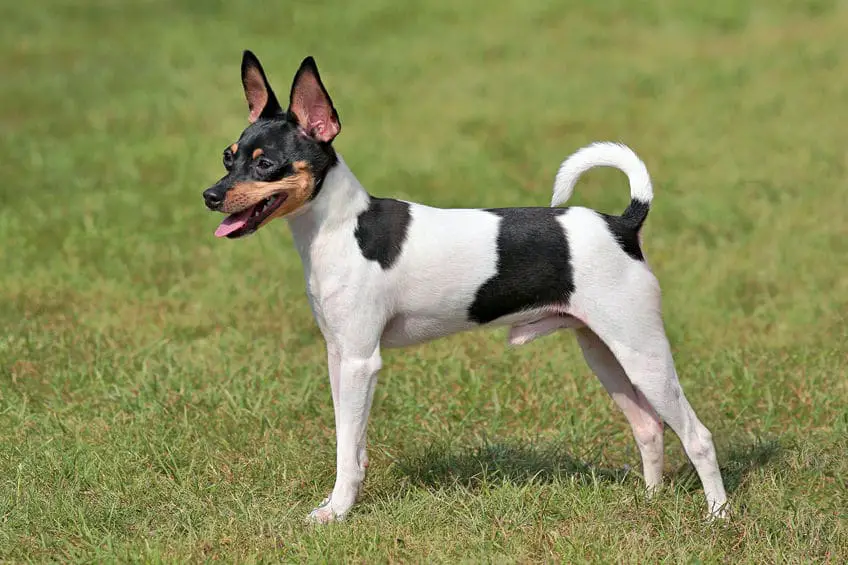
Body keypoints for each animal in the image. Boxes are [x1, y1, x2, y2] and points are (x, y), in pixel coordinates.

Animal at [204, 50, 728, 524]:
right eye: (229, 157)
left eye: (266, 164)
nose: (210, 195)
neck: (341, 227)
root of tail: (624, 224)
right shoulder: (339, 357)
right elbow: (346, 443)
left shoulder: (360, 362)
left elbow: (349, 450)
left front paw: (337, 512)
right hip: (603, 351)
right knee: (649, 426)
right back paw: (651, 503)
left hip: (643, 353)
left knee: (697, 435)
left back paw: (718, 516)